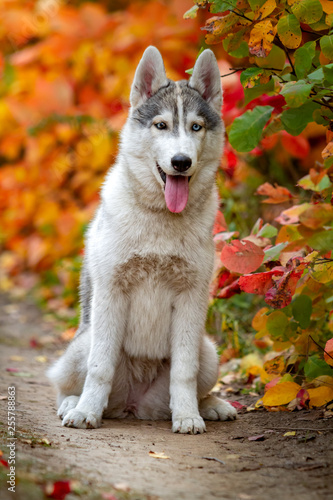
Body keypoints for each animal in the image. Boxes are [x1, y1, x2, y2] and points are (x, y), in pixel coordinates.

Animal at [48, 46, 237, 434]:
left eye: (196, 127)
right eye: (161, 125)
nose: (180, 162)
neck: (160, 221)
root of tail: (135, 407)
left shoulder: (191, 298)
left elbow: (184, 372)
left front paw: (188, 417)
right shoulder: (111, 291)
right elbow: (99, 368)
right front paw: (87, 413)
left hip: (208, 351)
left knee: (193, 383)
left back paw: (209, 406)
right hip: (84, 342)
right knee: (67, 386)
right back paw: (75, 404)